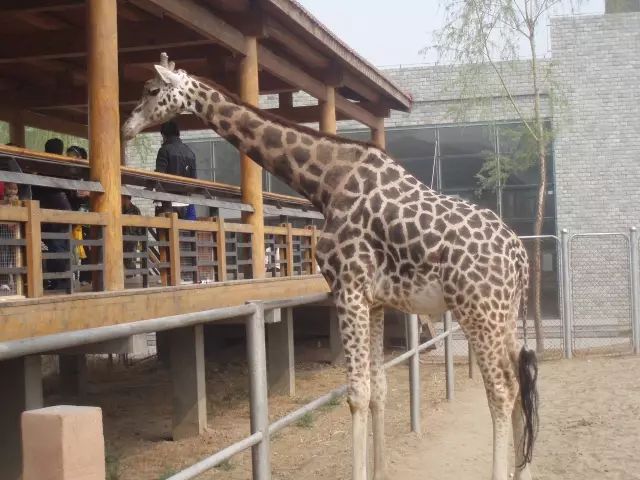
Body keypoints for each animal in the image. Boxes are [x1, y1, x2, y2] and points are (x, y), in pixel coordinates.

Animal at [122, 54, 536, 480]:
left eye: (151, 90)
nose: (127, 128)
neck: (327, 183)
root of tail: (520, 257)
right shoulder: (375, 300)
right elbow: (378, 387)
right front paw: (380, 472)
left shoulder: (347, 288)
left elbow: (357, 394)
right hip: (503, 316)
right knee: (522, 377)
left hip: (479, 312)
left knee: (502, 389)